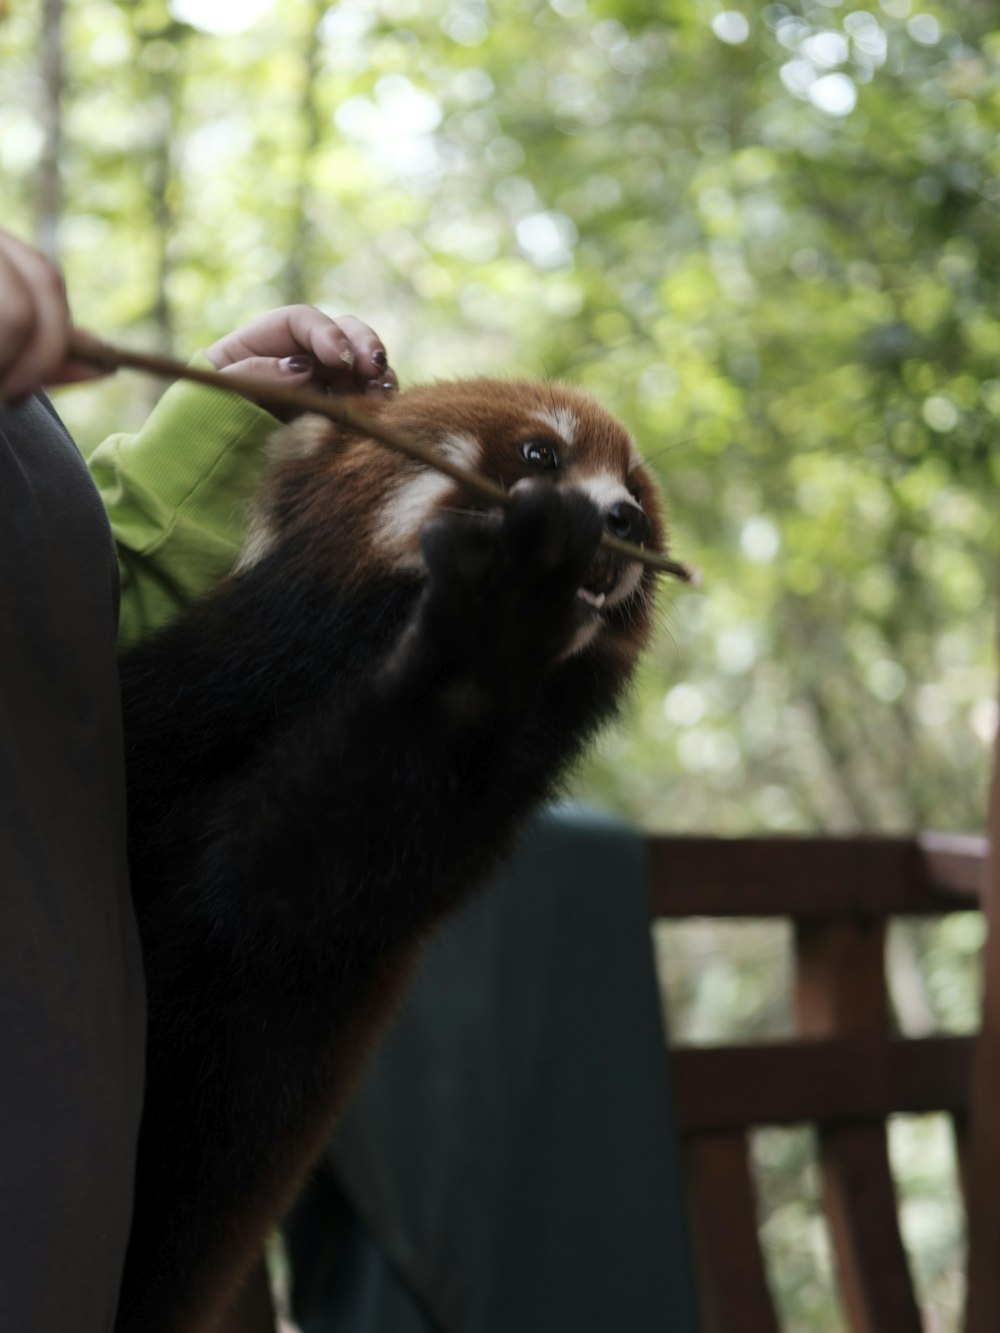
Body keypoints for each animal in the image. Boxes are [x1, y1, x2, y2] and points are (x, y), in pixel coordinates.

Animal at [115, 375, 666, 1333]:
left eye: (634, 484)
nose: (623, 518)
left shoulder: (416, 842)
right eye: (542, 454)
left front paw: (492, 634)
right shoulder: (193, 694)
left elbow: (283, 883)